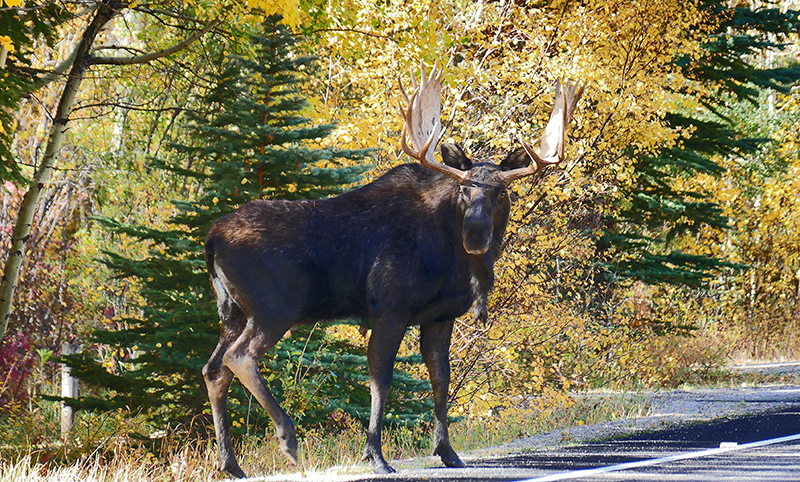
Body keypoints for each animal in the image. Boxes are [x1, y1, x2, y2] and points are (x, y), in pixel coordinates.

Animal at [203, 62, 584, 476]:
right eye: (464, 190)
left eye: (501, 192)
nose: (476, 235)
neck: (453, 258)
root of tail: (211, 240)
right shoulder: (389, 310)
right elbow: (381, 381)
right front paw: (376, 455)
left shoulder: (440, 316)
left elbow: (440, 378)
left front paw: (447, 451)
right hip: (274, 307)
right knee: (239, 357)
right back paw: (287, 439)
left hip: (233, 312)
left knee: (214, 369)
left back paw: (231, 464)